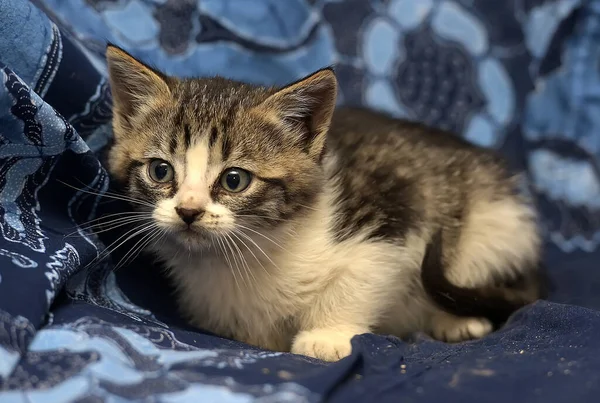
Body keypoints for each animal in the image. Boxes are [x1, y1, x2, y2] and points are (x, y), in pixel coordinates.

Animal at [105, 45, 548, 362]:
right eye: (160, 171)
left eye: (234, 179)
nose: (188, 211)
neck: (243, 255)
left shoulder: (392, 211)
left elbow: (363, 275)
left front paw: (327, 336)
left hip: (493, 225)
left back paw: (456, 320)